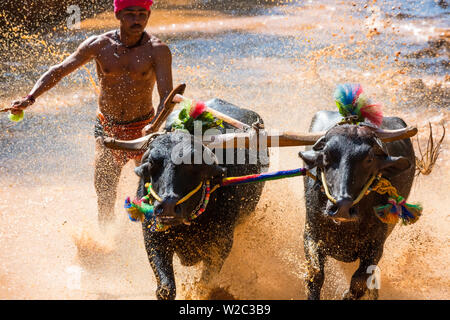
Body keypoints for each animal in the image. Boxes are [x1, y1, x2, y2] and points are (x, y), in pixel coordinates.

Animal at [134, 99, 268, 300]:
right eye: (152, 162)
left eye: (193, 164)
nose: (168, 206)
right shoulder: (153, 236)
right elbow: (165, 288)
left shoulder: (221, 244)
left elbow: (205, 284)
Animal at [298, 110, 416, 300]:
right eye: (326, 155)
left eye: (369, 159)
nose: (342, 207)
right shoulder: (311, 234)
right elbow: (315, 273)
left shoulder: (376, 246)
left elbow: (359, 281)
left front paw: (349, 294)